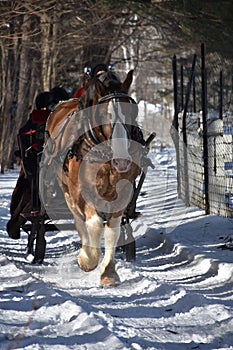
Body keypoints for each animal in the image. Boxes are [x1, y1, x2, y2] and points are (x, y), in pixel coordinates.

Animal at [41, 69, 144, 286]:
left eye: (133, 112)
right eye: (104, 116)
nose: (122, 161)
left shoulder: (122, 193)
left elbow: (112, 231)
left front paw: (109, 273)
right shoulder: (82, 192)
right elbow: (94, 224)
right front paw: (88, 260)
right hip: (67, 191)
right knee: (79, 220)